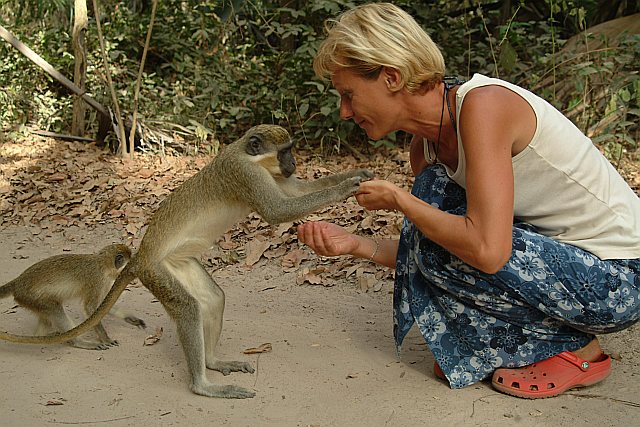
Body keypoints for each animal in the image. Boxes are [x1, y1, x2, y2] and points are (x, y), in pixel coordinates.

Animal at [0, 244, 145, 352]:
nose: (134, 278)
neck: (103, 264)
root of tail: (18, 282)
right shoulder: (97, 279)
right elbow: (91, 308)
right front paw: (105, 339)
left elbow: (102, 305)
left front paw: (131, 319)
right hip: (29, 297)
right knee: (55, 310)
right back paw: (77, 342)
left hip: (30, 300)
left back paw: (42, 336)